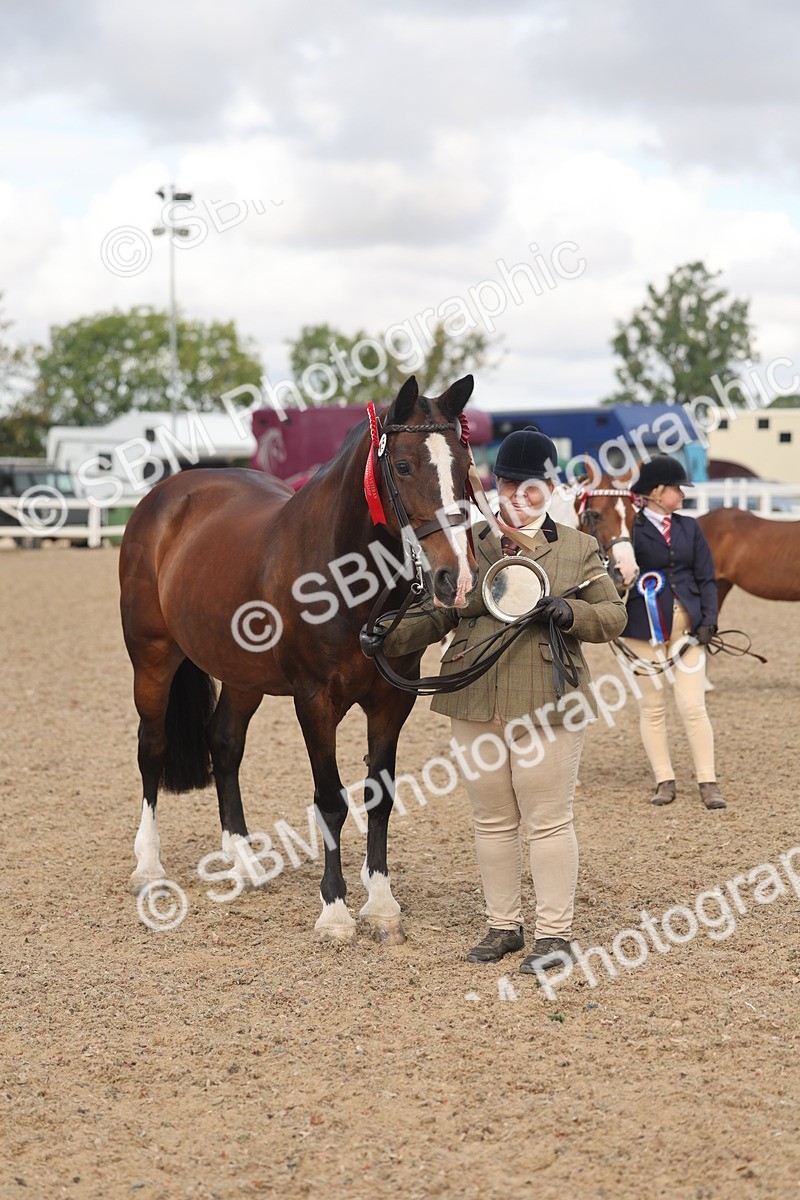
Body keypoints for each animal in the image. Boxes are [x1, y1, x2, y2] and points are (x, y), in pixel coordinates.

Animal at [119, 375, 478, 946]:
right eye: (402, 466)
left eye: (464, 467)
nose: (457, 579)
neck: (344, 575)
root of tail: (166, 494)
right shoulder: (314, 701)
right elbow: (330, 800)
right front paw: (335, 910)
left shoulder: (391, 700)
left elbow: (379, 796)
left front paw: (381, 904)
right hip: (152, 658)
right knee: (151, 748)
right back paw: (149, 866)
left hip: (242, 676)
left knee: (224, 744)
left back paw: (243, 859)